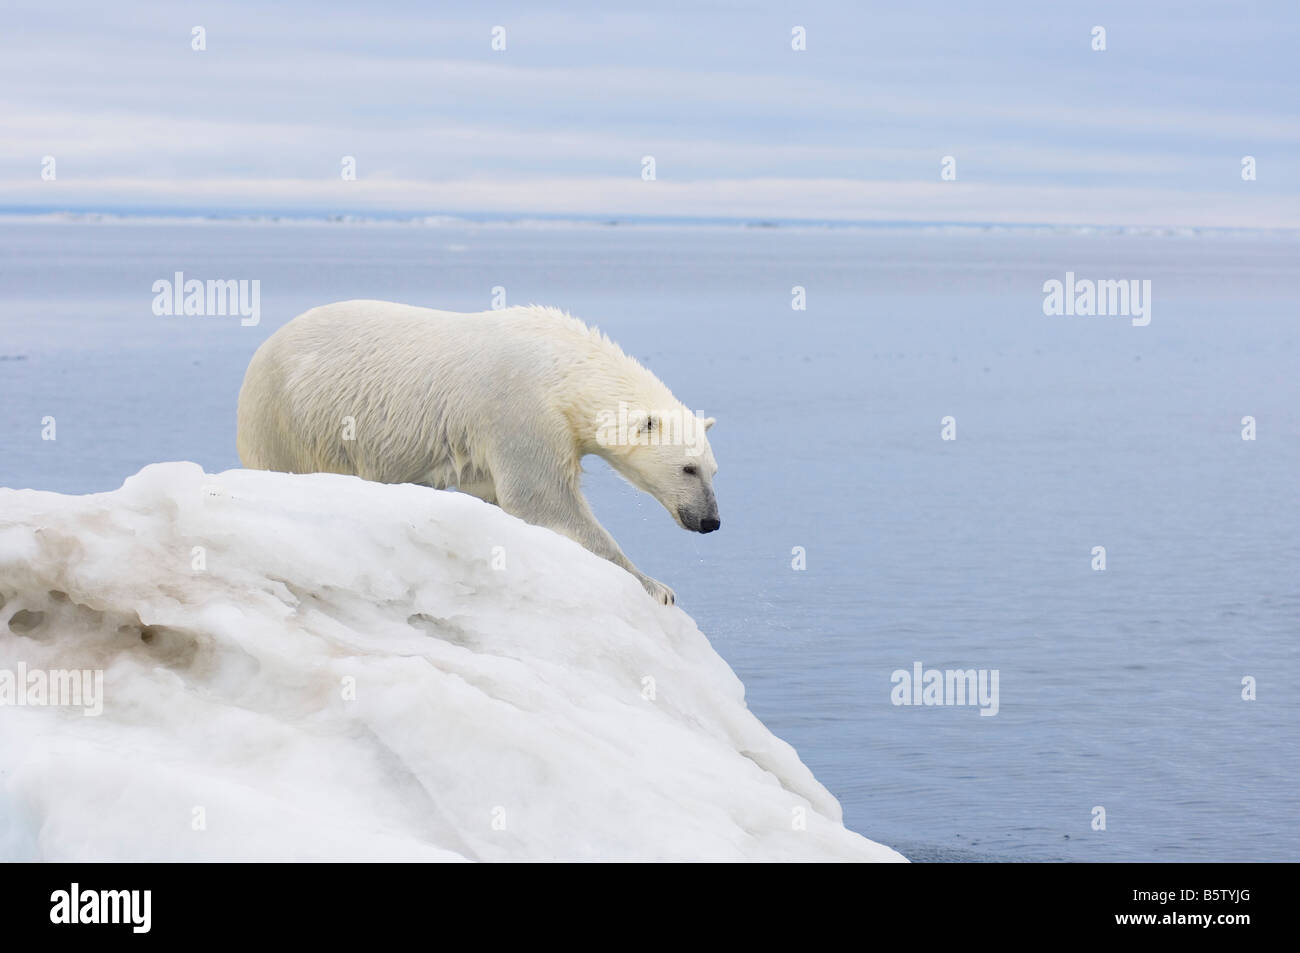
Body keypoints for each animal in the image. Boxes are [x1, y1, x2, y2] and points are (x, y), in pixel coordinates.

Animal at [236, 300, 720, 605]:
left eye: (713, 470)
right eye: (688, 468)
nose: (711, 522)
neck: (560, 366)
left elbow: (493, 493)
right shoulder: (520, 409)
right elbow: (543, 500)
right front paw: (657, 586)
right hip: (283, 417)